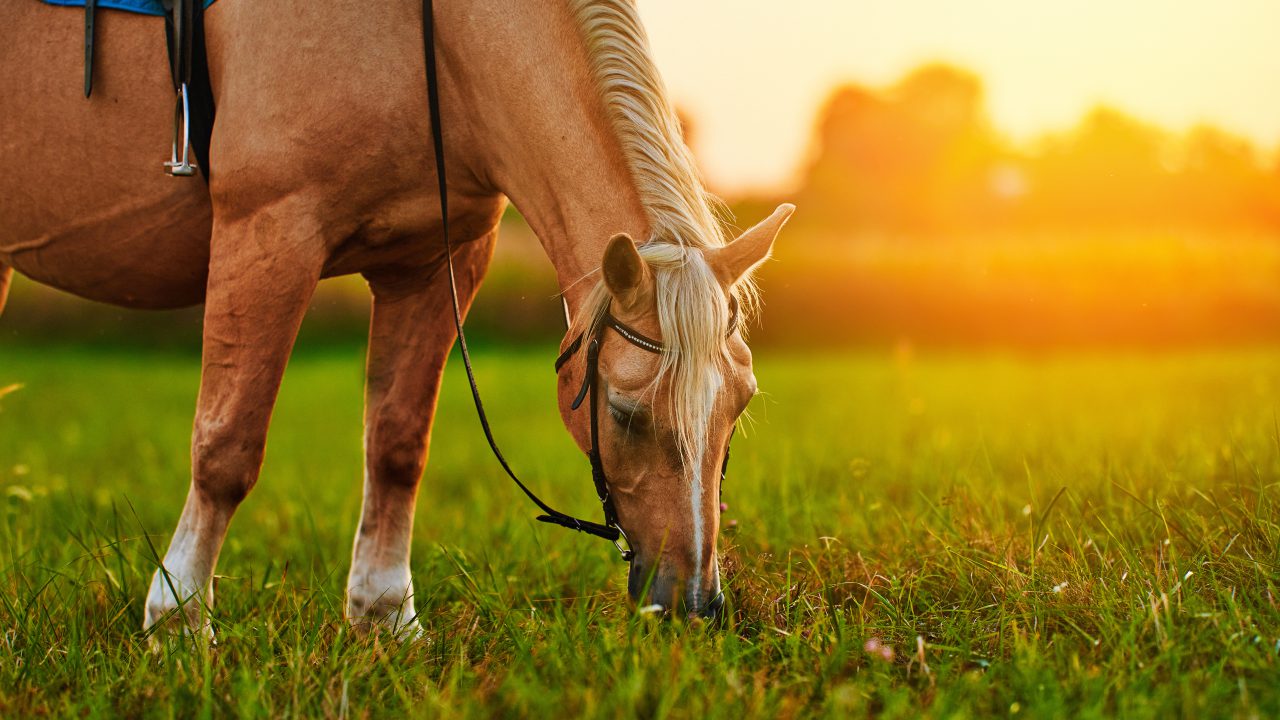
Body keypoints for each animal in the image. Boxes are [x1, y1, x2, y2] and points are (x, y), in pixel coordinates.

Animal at [0, 0, 794, 635]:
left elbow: (398, 444)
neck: (432, 38)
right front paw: (180, 620)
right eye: (626, 413)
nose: (694, 607)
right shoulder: (269, 233)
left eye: (740, 406)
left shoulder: (438, 260)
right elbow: (227, 447)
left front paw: (383, 616)